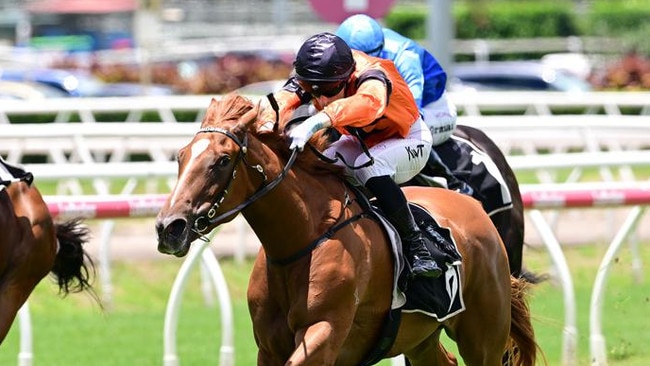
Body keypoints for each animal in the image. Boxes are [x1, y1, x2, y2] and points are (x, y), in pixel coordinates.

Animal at [153, 95, 536, 366]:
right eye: (181, 156)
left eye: (222, 161)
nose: (169, 227)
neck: (301, 241)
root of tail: (475, 210)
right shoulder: (270, 347)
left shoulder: (325, 334)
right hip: (421, 337)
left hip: (483, 335)